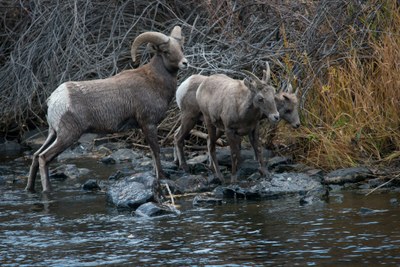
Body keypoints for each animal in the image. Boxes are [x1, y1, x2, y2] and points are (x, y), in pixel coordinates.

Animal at [26, 26, 189, 197]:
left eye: (181, 48)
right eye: (166, 51)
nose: (185, 63)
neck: (154, 81)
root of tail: (54, 99)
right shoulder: (148, 124)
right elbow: (155, 150)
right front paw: (162, 176)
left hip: (53, 133)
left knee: (36, 156)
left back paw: (30, 188)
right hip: (67, 135)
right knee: (44, 157)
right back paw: (48, 190)